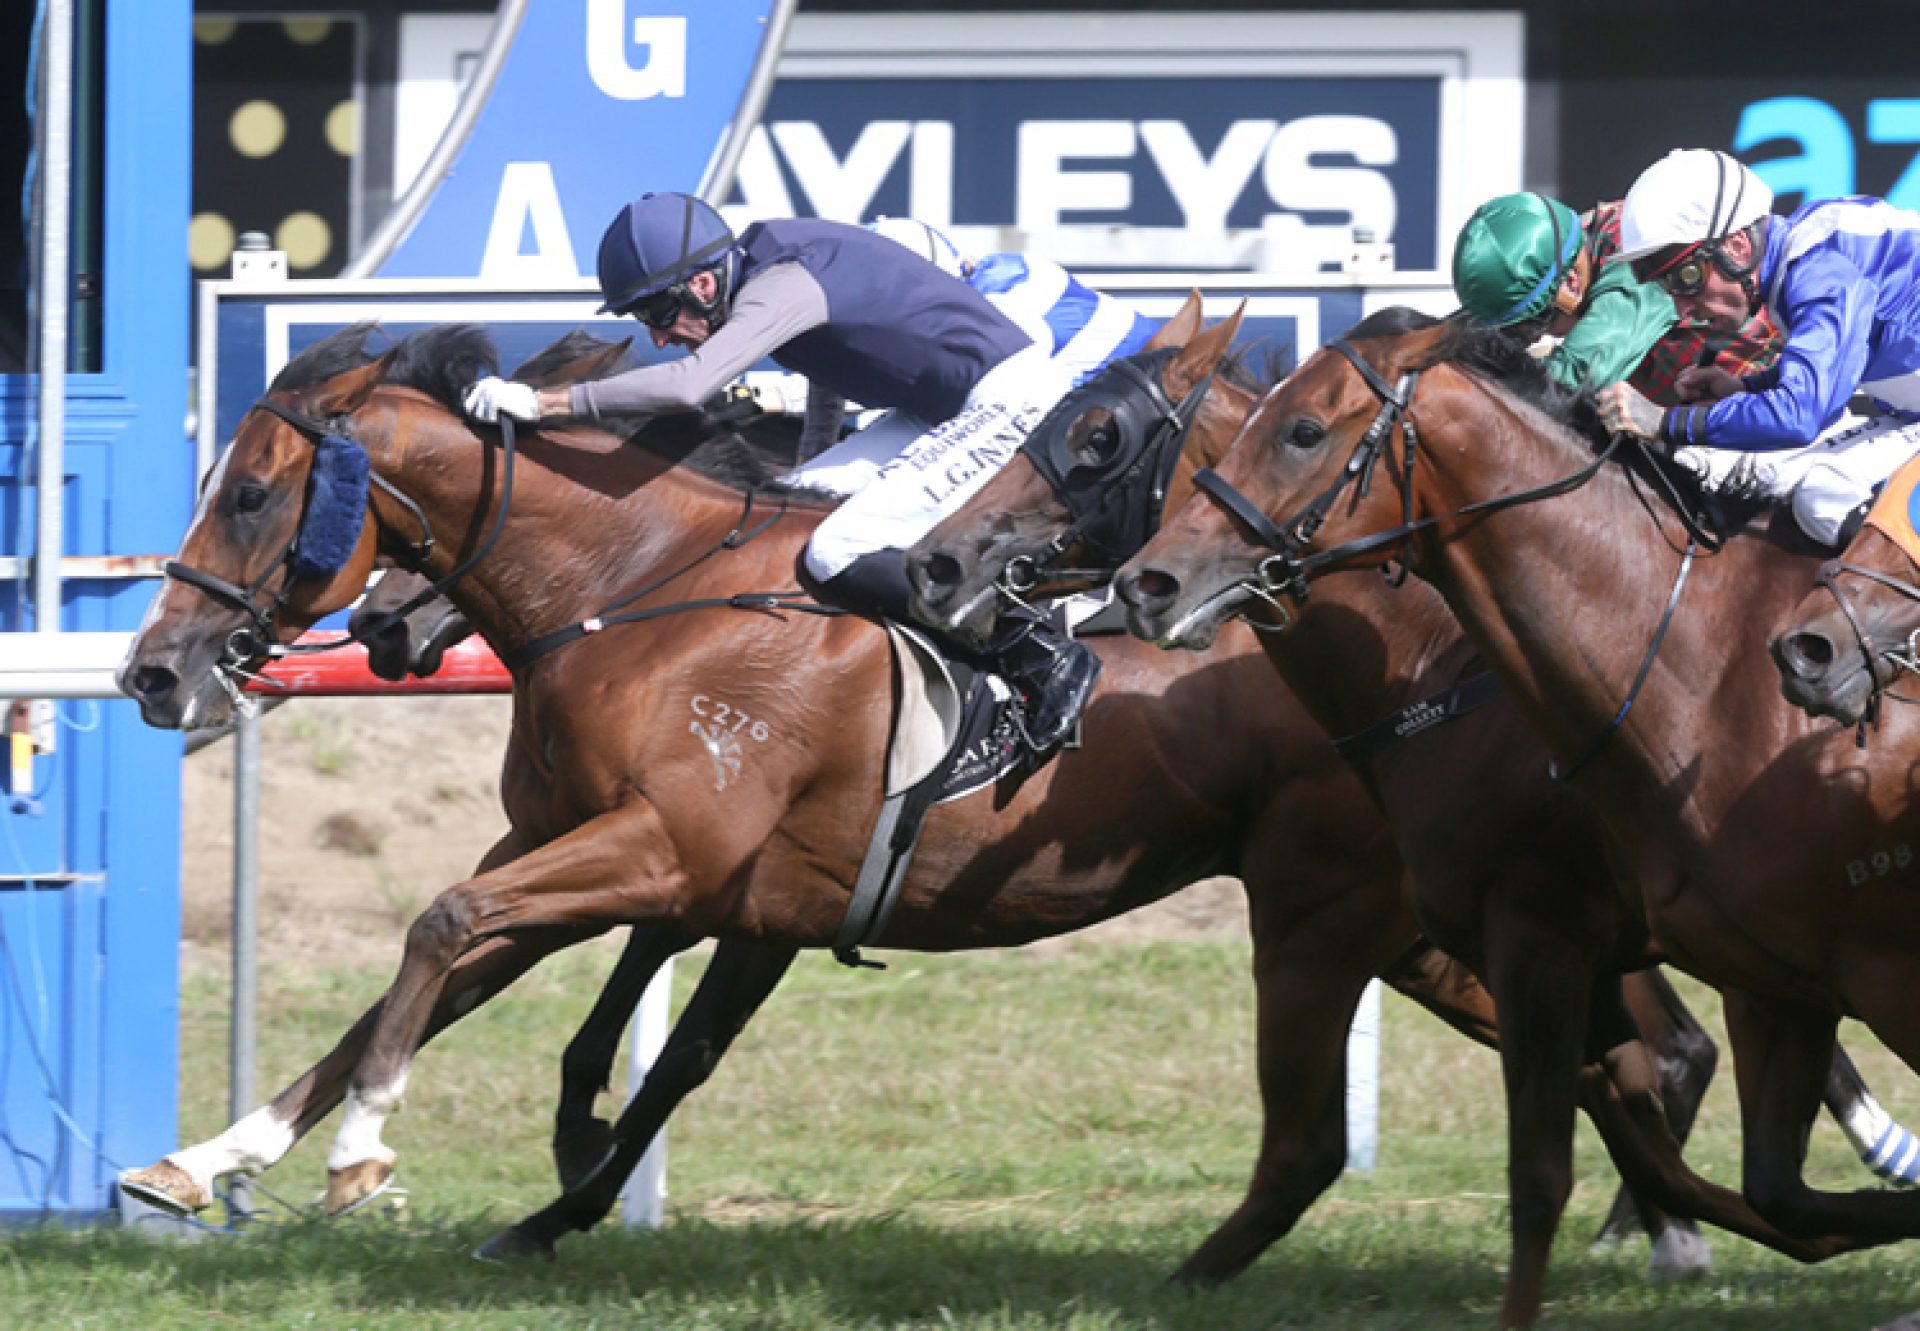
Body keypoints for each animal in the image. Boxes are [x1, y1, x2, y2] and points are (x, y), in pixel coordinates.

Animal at [116, 311, 1512, 1267]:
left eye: (251, 493)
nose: (151, 668)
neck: (645, 586)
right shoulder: (614, 854)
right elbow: (430, 982)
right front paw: (206, 1158)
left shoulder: (667, 850)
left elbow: (449, 929)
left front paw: (366, 1154)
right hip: (1398, 925)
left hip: (1327, 908)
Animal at [906, 316, 1896, 1321]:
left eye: (1097, 436)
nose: (935, 563)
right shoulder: (1540, 938)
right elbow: (1650, 1114)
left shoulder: (1486, 927)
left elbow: (1539, 1154)